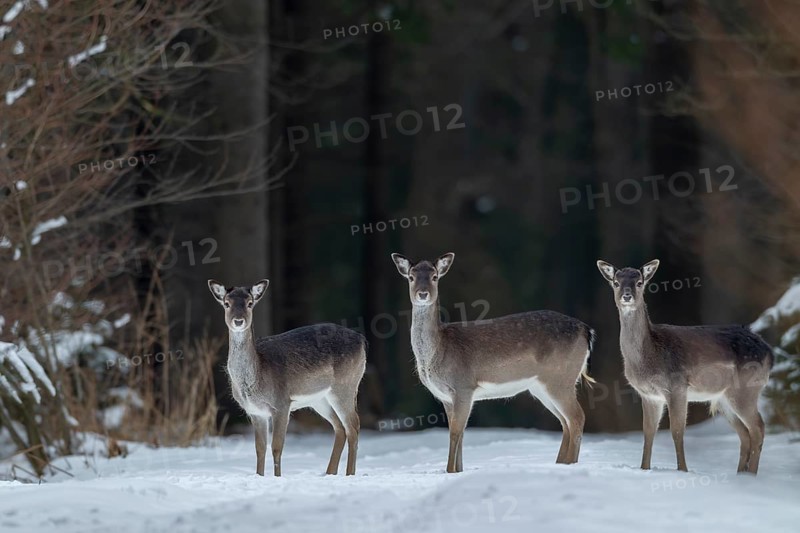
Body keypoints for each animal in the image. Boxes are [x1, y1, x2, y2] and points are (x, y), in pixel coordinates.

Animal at [208, 279, 367, 477]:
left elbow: (276, 447)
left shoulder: (282, 404)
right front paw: (260, 476)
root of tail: (361, 339)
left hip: (345, 386)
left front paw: (277, 478)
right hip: (319, 399)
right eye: (226, 303)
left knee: (353, 426)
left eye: (250, 303)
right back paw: (329, 473)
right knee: (339, 428)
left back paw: (349, 474)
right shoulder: (255, 412)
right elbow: (260, 449)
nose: (238, 321)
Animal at [391, 252, 595, 473]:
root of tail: (586, 331)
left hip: (560, 378)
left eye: (435, 277)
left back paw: (570, 464)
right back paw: (561, 463)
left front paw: (450, 471)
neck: (439, 350)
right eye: (411, 277)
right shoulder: (445, 396)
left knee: (577, 417)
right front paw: (458, 470)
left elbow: (455, 433)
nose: (423, 294)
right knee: (565, 422)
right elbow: (459, 434)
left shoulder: (464, 386)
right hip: (542, 386)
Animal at [596, 259, 773, 474]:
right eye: (615, 282)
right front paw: (644, 469)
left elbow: (677, 431)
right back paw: (741, 475)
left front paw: (683, 470)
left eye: (639, 282)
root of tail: (769, 352)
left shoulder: (677, 386)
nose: (627, 295)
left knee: (758, 428)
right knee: (745, 434)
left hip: (746, 389)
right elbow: (648, 432)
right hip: (724, 398)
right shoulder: (649, 395)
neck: (647, 359)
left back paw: (752, 475)